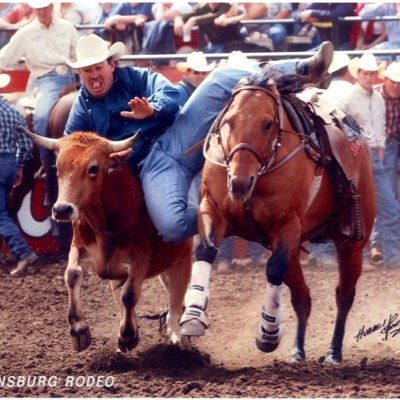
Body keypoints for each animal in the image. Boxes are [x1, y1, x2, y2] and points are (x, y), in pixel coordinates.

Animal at [180, 68, 376, 362]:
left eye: (268, 123)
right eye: (228, 121)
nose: (239, 183)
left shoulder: (287, 225)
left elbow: (273, 270)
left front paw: (268, 333)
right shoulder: (211, 209)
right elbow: (205, 251)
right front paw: (192, 316)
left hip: (350, 243)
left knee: (344, 295)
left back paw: (333, 352)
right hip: (295, 249)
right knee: (303, 298)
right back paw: (298, 351)